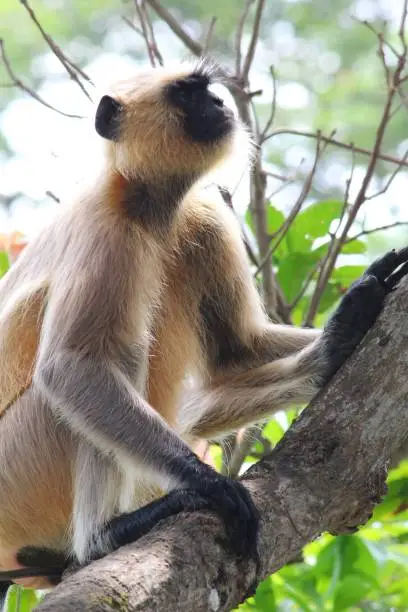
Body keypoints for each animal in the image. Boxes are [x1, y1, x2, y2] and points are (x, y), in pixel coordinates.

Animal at [0, 58, 408, 592]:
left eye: (207, 91)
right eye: (187, 95)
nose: (217, 103)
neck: (149, 207)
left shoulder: (203, 216)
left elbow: (237, 351)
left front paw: (348, 325)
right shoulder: (103, 226)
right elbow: (71, 368)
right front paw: (210, 485)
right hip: (17, 466)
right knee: (109, 361)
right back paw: (105, 536)